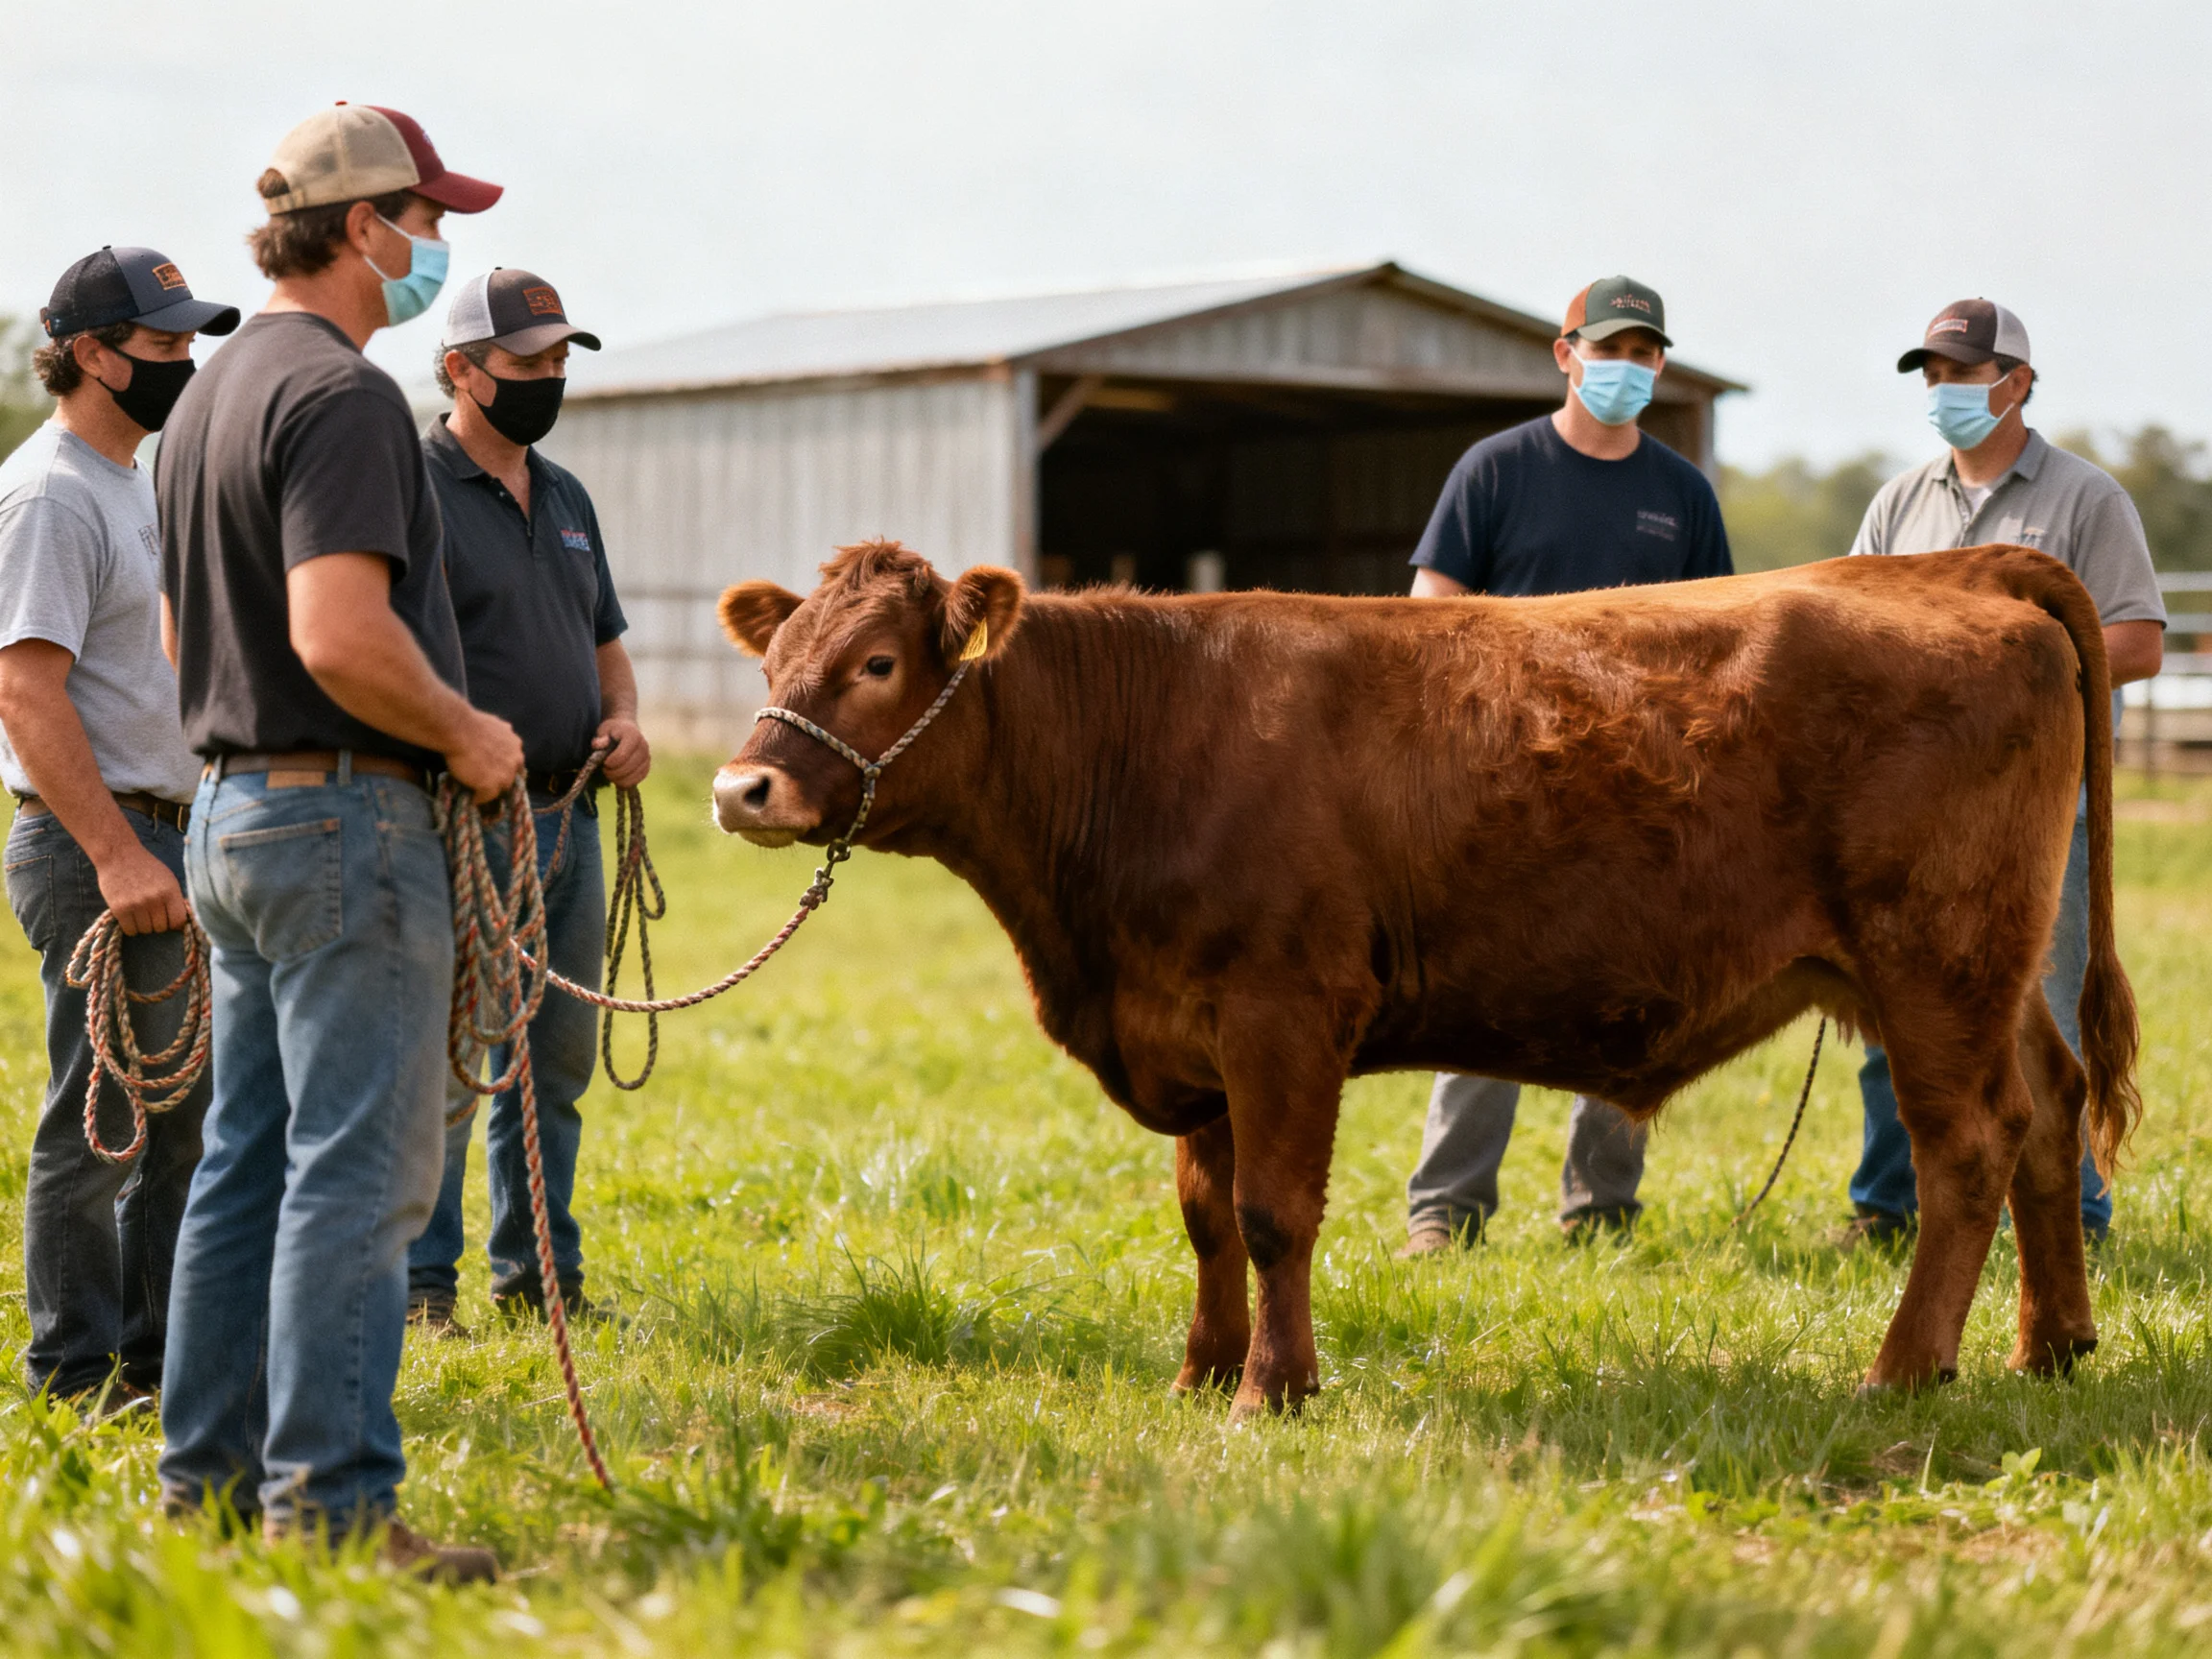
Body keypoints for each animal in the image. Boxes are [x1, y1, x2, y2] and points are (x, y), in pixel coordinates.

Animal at [710, 538, 2139, 1419]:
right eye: (773, 662)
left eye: (879, 663)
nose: (741, 787)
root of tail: (1951, 567)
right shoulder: (1190, 1027)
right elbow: (1207, 1215)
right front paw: (1199, 1373)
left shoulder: (1282, 1014)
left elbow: (1275, 1211)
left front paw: (1272, 1389)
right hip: (1986, 972)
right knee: (2050, 1111)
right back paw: (2052, 1345)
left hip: (1933, 958)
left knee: (1970, 1146)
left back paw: (1904, 1371)